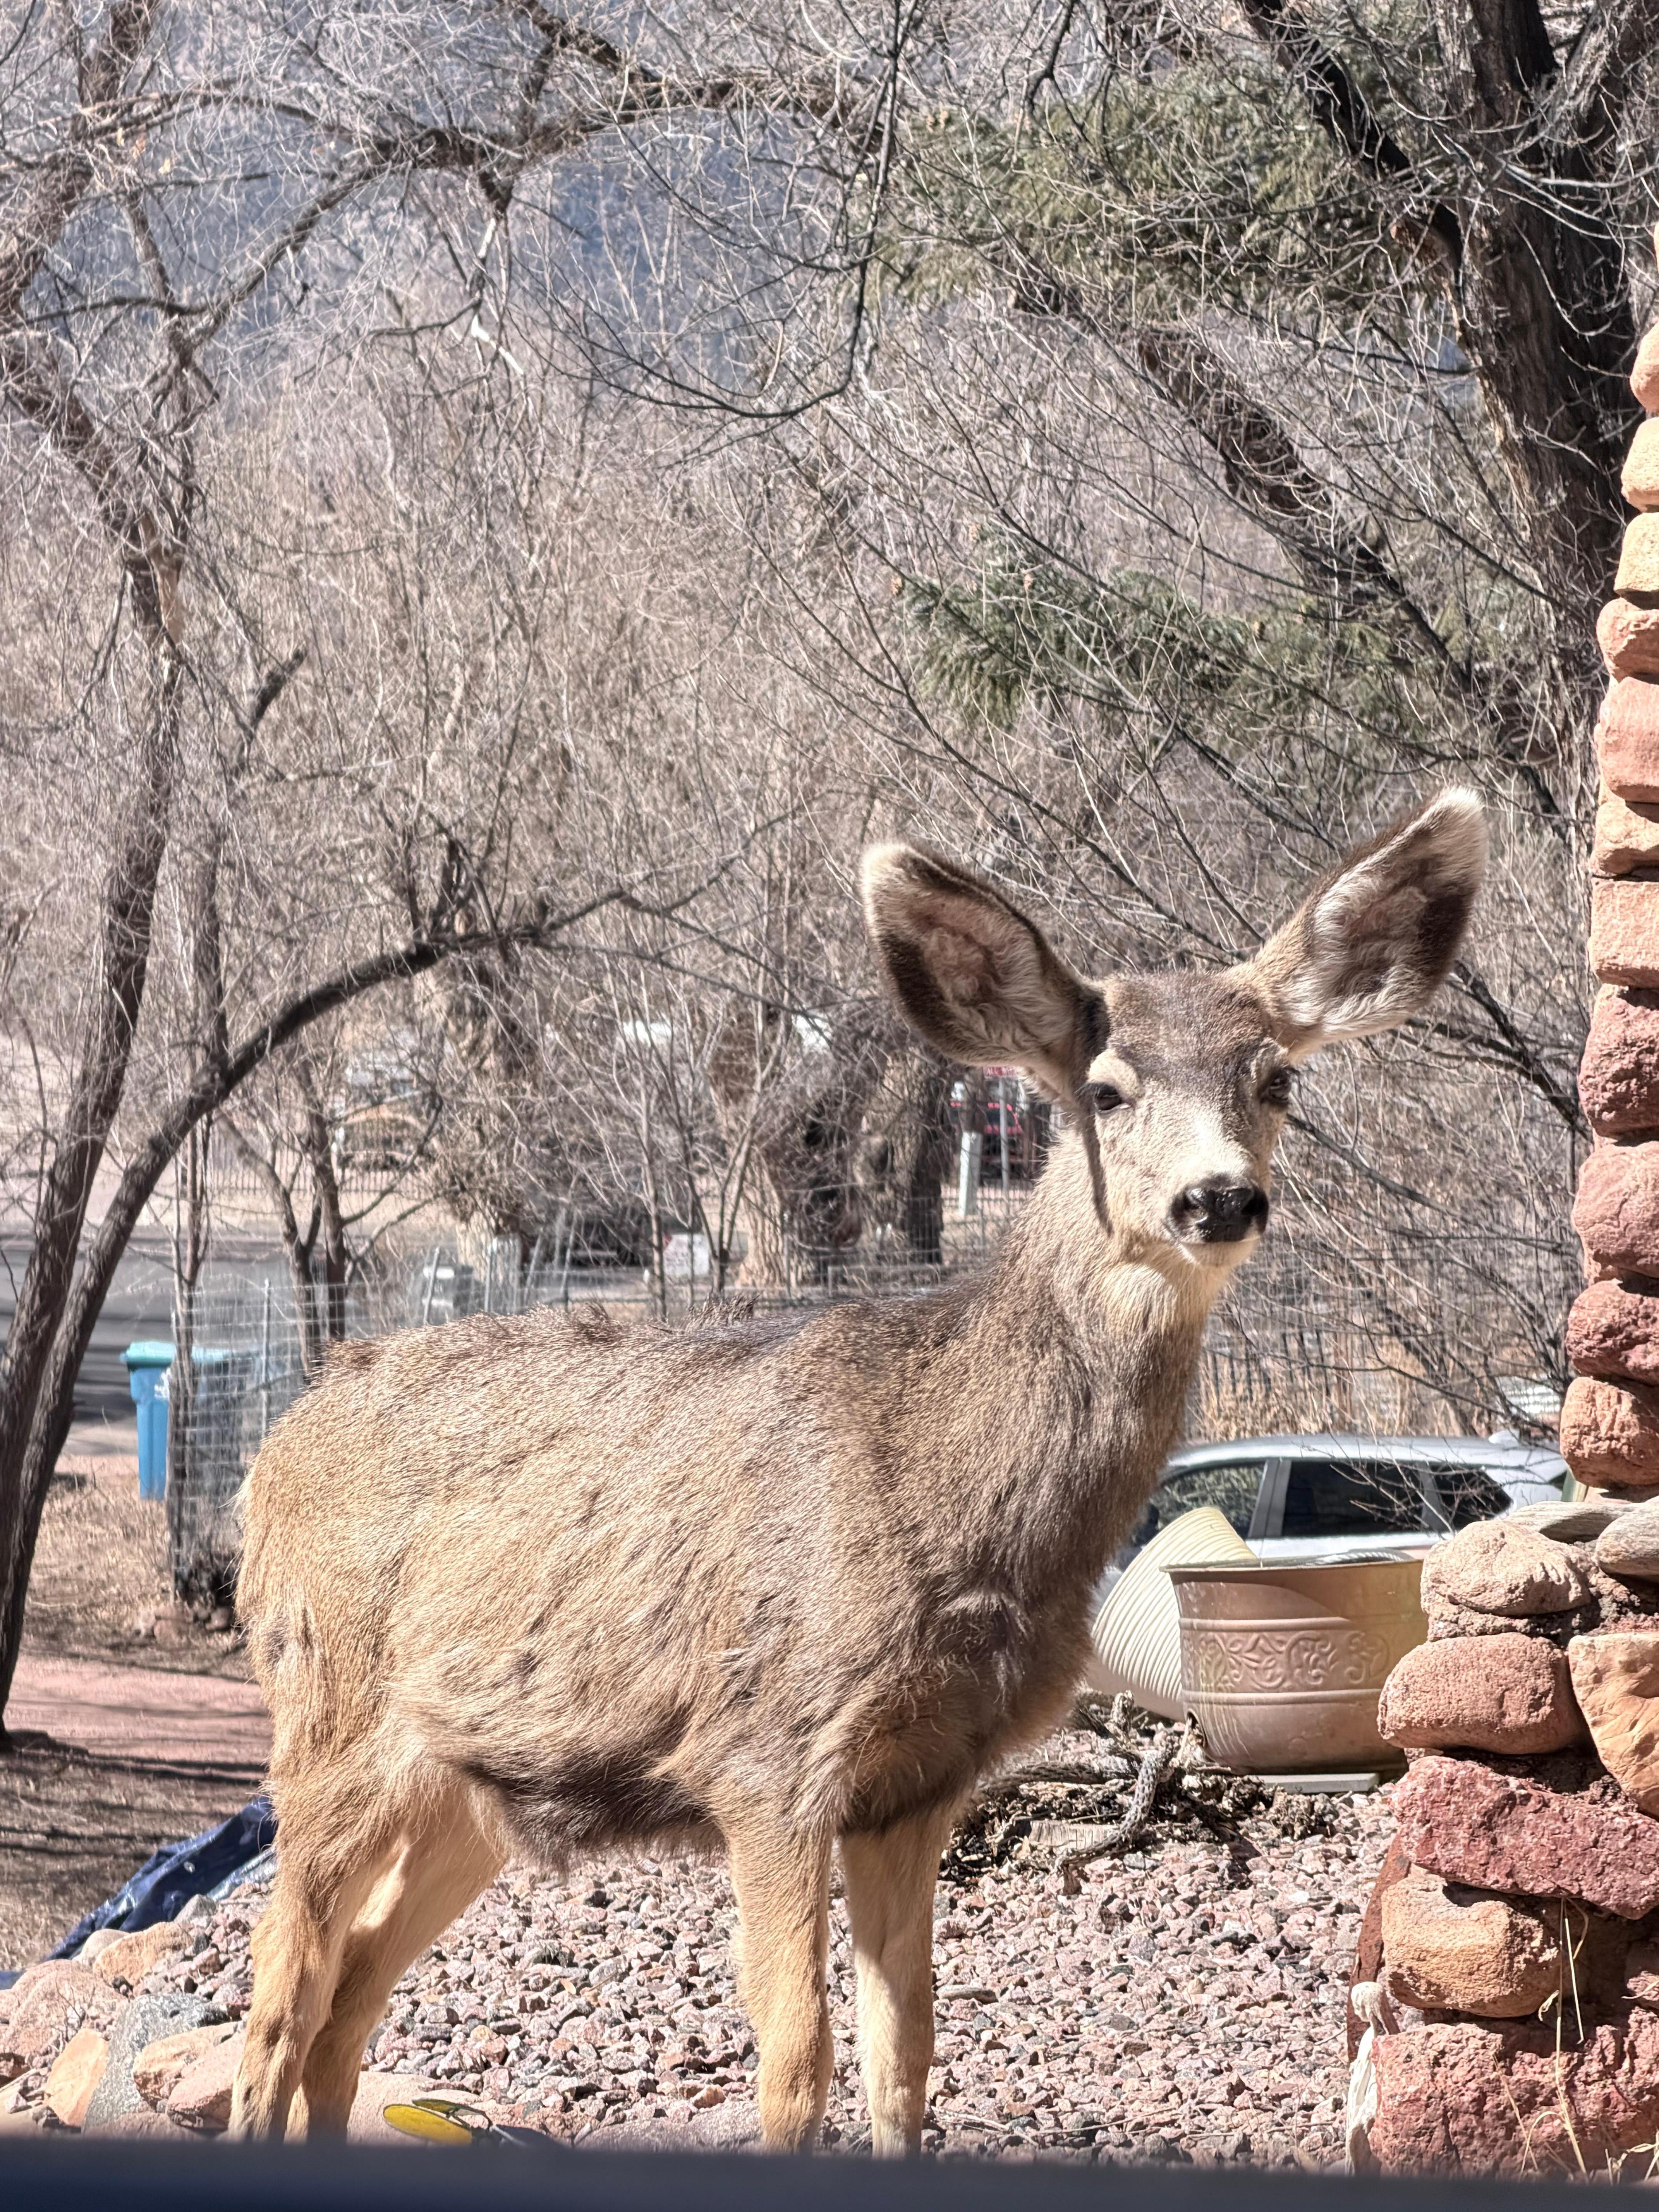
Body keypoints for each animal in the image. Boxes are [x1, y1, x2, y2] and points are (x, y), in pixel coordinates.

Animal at [230, 788, 1485, 2154]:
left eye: (1277, 1079)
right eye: (1104, 1089)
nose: (1219, 1198)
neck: (942, 1482)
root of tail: (272, 1449)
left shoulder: (917, 1781)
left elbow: (907, 2050)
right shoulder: (765, 1748)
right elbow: (796, 2057)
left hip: (471, 1792)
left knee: (346, 2004)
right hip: (325, 1718)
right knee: (277, 2003)